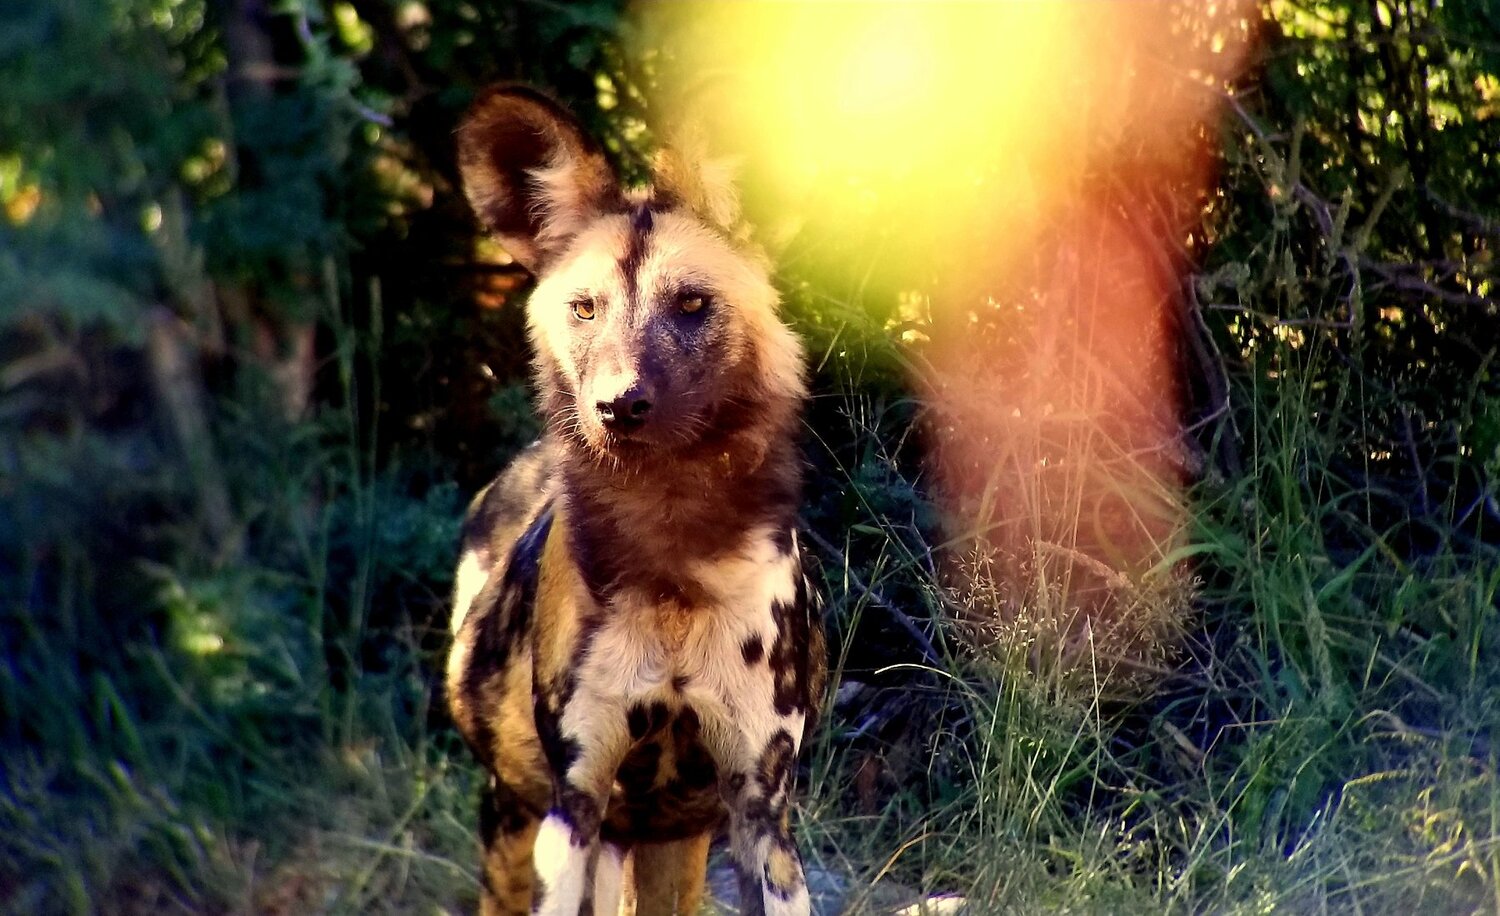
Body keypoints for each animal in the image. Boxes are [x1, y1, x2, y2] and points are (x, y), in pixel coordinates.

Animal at [444, 85, 826, 916]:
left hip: (671, 841)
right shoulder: (576, 802)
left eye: (691, 304)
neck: (672, 557)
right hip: (517, 826)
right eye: (584, 309)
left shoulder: (761, 807)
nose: (617, 406)